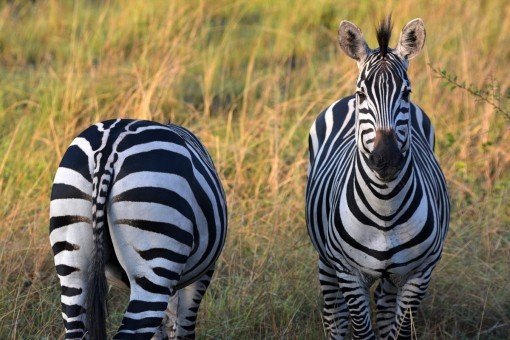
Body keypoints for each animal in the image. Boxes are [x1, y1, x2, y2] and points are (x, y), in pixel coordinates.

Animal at [48, 118, 227, 338]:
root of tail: (108, 150)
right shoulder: (202, 274)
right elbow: (185, 328)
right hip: (155, 257)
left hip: (71, 258)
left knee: (74, 324)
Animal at [304, 16, 448, 340]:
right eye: (362, 95)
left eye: (406, 93)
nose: (387, 160)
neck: (385, 207)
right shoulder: (349, 274)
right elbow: (361, 330)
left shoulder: (419, 274)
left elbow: (400, 331)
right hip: (326, 261)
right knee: (335, 315)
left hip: (389, 277)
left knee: (383, 307)